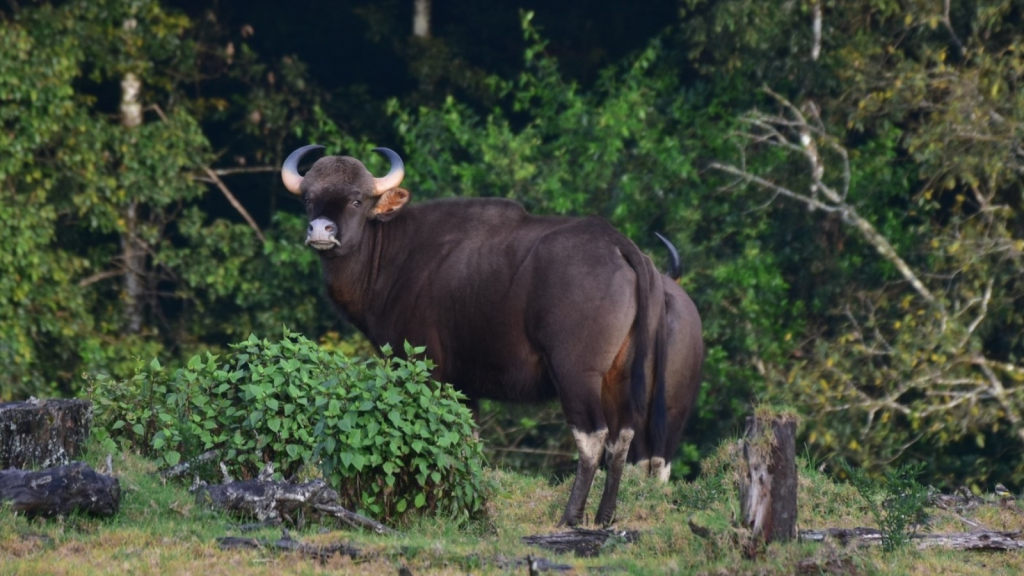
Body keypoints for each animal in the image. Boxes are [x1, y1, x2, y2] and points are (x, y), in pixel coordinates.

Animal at [280, 144, 696, 524]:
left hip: (576, 372)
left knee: (593, 436)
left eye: (356, 199)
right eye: (308, 199)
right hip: (617, 376)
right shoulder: (465, 386)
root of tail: (621, 246)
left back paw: (570, 517)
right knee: (622, 437)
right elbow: (468, 442)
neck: (389, 257)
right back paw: (605, 516)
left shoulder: (425, 367)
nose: (320, 231)